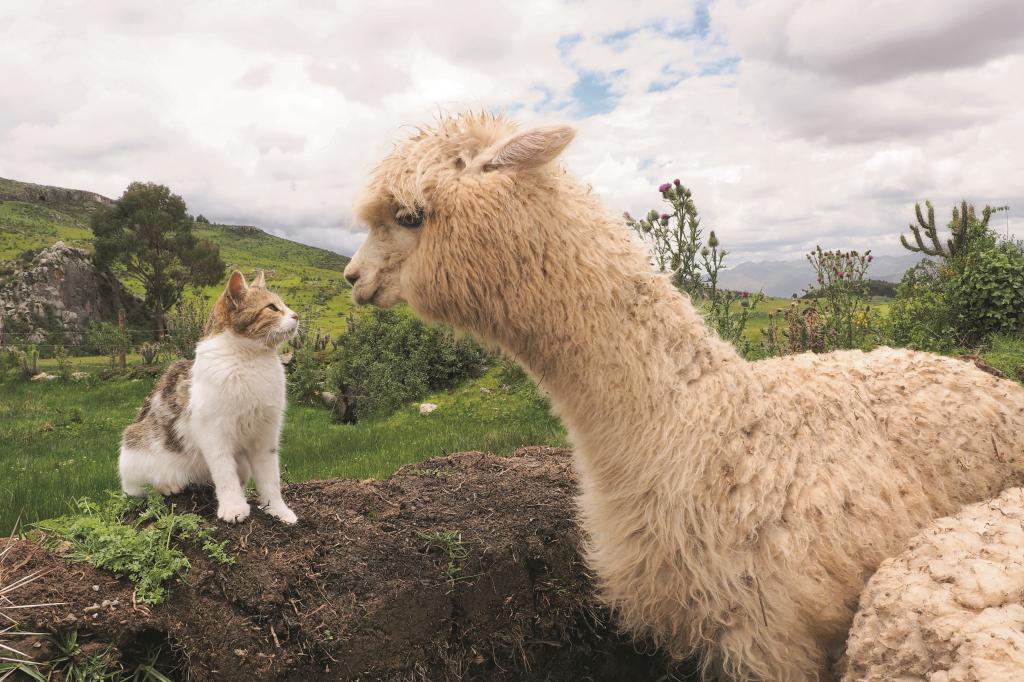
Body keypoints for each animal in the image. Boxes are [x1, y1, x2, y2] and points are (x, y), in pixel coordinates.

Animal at [119, 268, 299, 522]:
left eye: (283, 305)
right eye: (272, 308)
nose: (296, 315)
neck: (250, 360)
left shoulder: (265, 435)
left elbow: (270, 479)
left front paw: (278, 510)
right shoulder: (215, 433)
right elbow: (225, 474)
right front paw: (234, 507)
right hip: (135, 448)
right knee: (137, 489)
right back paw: (169, 485)